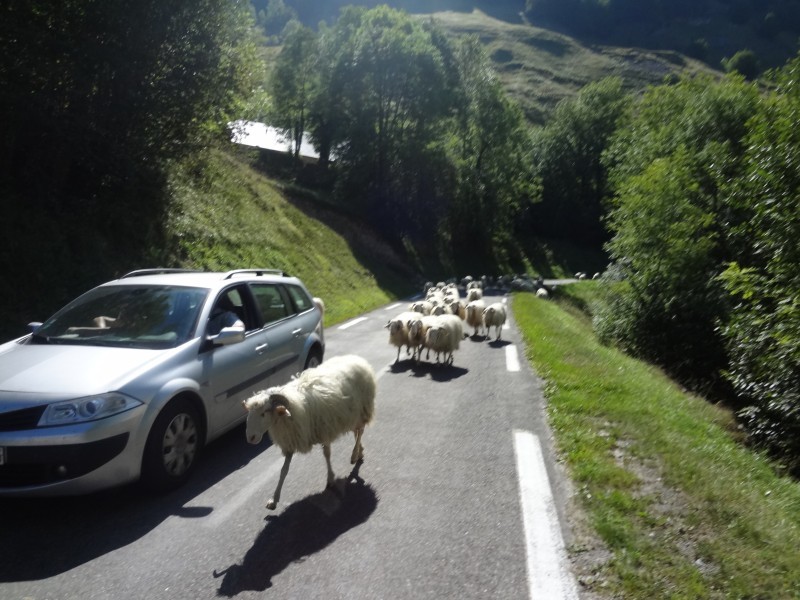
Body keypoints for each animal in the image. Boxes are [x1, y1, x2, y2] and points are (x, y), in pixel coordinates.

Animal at [242, 356, 376, 510]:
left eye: (264, 413)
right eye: (249, 413)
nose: (250, 437)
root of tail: (357, 358)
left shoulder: (324, 430)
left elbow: (327, 455)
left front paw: (330, 478)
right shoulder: (290, 442)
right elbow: (283, 471)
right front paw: (274, 499)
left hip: (362, 410)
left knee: (360, 432)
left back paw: (354, 455)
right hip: (353, 415)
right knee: (357, 433)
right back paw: (360, 452)